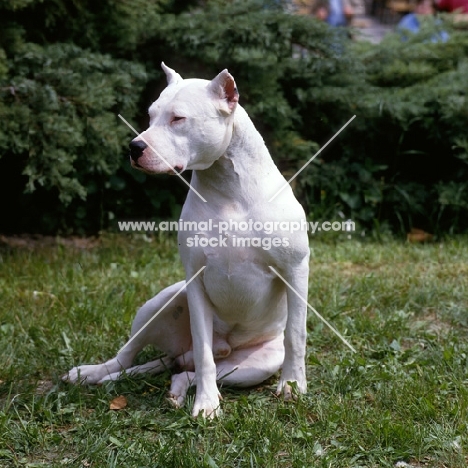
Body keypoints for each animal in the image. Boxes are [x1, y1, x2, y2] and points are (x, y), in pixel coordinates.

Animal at [64, 62, 308, 416]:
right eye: (150, 115)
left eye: (178, 118)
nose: (134, 147)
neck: (228, 186)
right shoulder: (194, 281)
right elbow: (204, 349)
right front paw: (207, 404)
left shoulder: (295, 270)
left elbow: (296, 334)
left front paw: (292, 385)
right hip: (160, 303)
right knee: (135, 355)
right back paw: (94, 372)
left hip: (250, 367)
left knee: (184, 372)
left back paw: (177, 390)